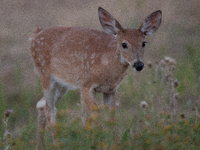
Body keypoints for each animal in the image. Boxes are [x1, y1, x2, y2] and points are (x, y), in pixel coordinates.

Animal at [30, 6, 162, 149]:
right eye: (124, 44)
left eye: (143, 43)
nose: (138, 65)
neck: (106, 65)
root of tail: (34, 34)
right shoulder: (86, 84)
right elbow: (97, 117)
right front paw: (101, 143)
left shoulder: (111, 90)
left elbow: (111, 120)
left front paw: (113, 145)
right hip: (45, 75)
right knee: (49, 109)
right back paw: (57, 145)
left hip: (62, 84)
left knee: (43, 104)